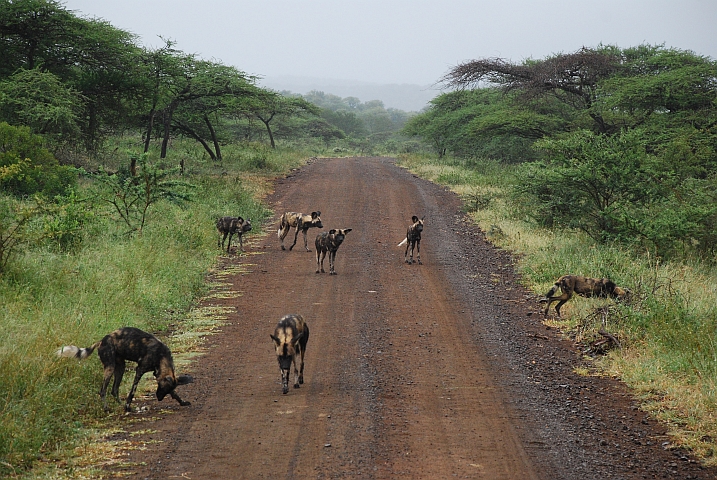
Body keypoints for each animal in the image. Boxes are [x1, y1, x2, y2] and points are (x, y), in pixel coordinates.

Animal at [57, 326, 193, 412]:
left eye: (166, 390)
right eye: (162, 388)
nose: (159, 398)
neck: (161, 356)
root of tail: (101, 340)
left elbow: (176, 394)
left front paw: (182, 402)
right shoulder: (140, 370)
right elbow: (132, 392)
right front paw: (128, 406)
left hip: (120, 368)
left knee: (114, 390)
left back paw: (120, 405)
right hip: (110, 368)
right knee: (103, 390)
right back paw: (107, 408)